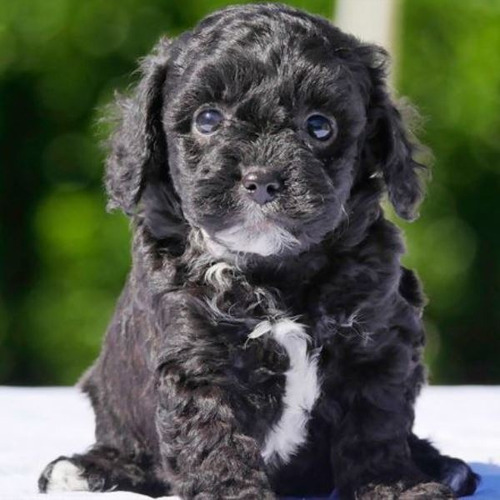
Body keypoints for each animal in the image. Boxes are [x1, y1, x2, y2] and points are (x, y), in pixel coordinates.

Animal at [38, 3, 476, 500]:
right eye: (207, 119)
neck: (272, 271)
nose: (262, 179)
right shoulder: (199, 357)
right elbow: (213, 438)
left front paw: (393, 485)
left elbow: (375, 425)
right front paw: (231, 491)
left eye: (319, 126)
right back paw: (86, 469)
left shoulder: (377, 341)